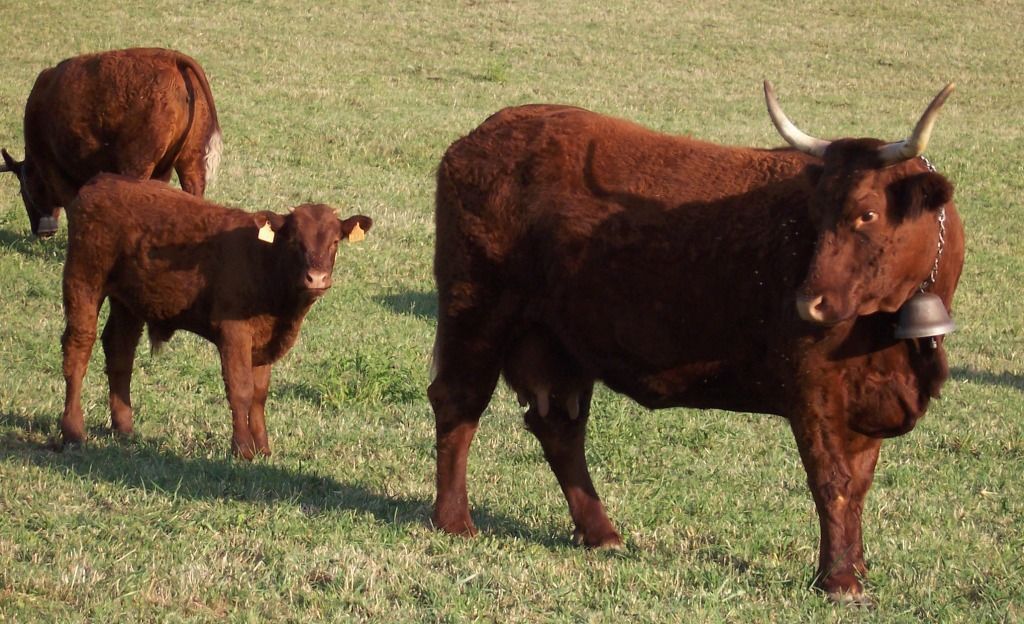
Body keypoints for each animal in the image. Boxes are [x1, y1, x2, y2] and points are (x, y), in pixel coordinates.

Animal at [1, 47, 222, 237]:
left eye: (23, 190)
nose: (42, 231)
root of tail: (173, 59)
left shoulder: (51, 166)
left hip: (137, 165)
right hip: (191, 161)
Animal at [60, 174, 372, 459]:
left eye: (335, 242)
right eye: (295, 241)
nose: (316, 278)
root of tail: (103, 180)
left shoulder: (263, 340)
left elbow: (259, 394)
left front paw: (263, 448)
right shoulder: (233, 332)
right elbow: (241, 389)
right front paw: (242, 449)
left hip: (128, 301)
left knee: (120, 351)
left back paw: (124, 428)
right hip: (84, 280)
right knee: (78, 349)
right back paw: (73, 431)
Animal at [427, 82, 964, 601]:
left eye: (867, 214)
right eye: (816, 214)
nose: (809, 303)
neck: (892, 337)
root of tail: (482, 134)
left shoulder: (868, 398)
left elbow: (859, 484)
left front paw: (856, 566)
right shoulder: (813, 390)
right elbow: (832, 480)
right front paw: (839, 581)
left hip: (557, 342)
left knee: (559, 428)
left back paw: (601, 533)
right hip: (475, 311)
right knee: (458, 403)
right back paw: (454, 521)